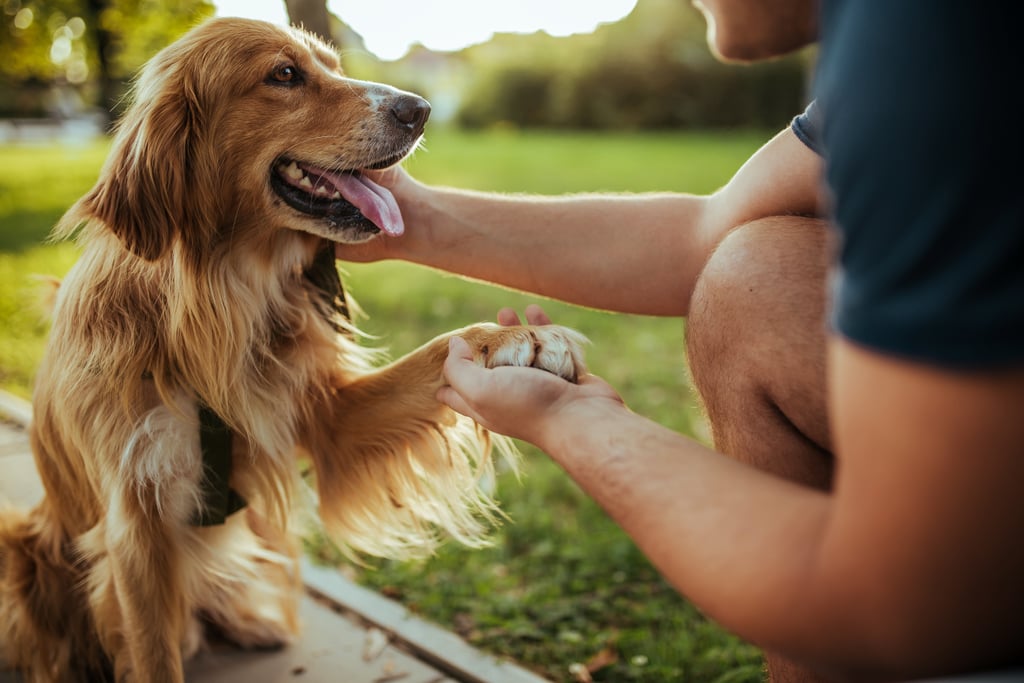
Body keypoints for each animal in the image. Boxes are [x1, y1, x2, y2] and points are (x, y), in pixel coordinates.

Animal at [0, 17, 589, 683]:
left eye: (333, 65)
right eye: (284, 74)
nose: (420, 109)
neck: (213, 306)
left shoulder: (325, 416)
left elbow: (441, 349)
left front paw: (514, 338)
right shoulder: (134, 526)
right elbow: (153, 654)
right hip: (20, 547)